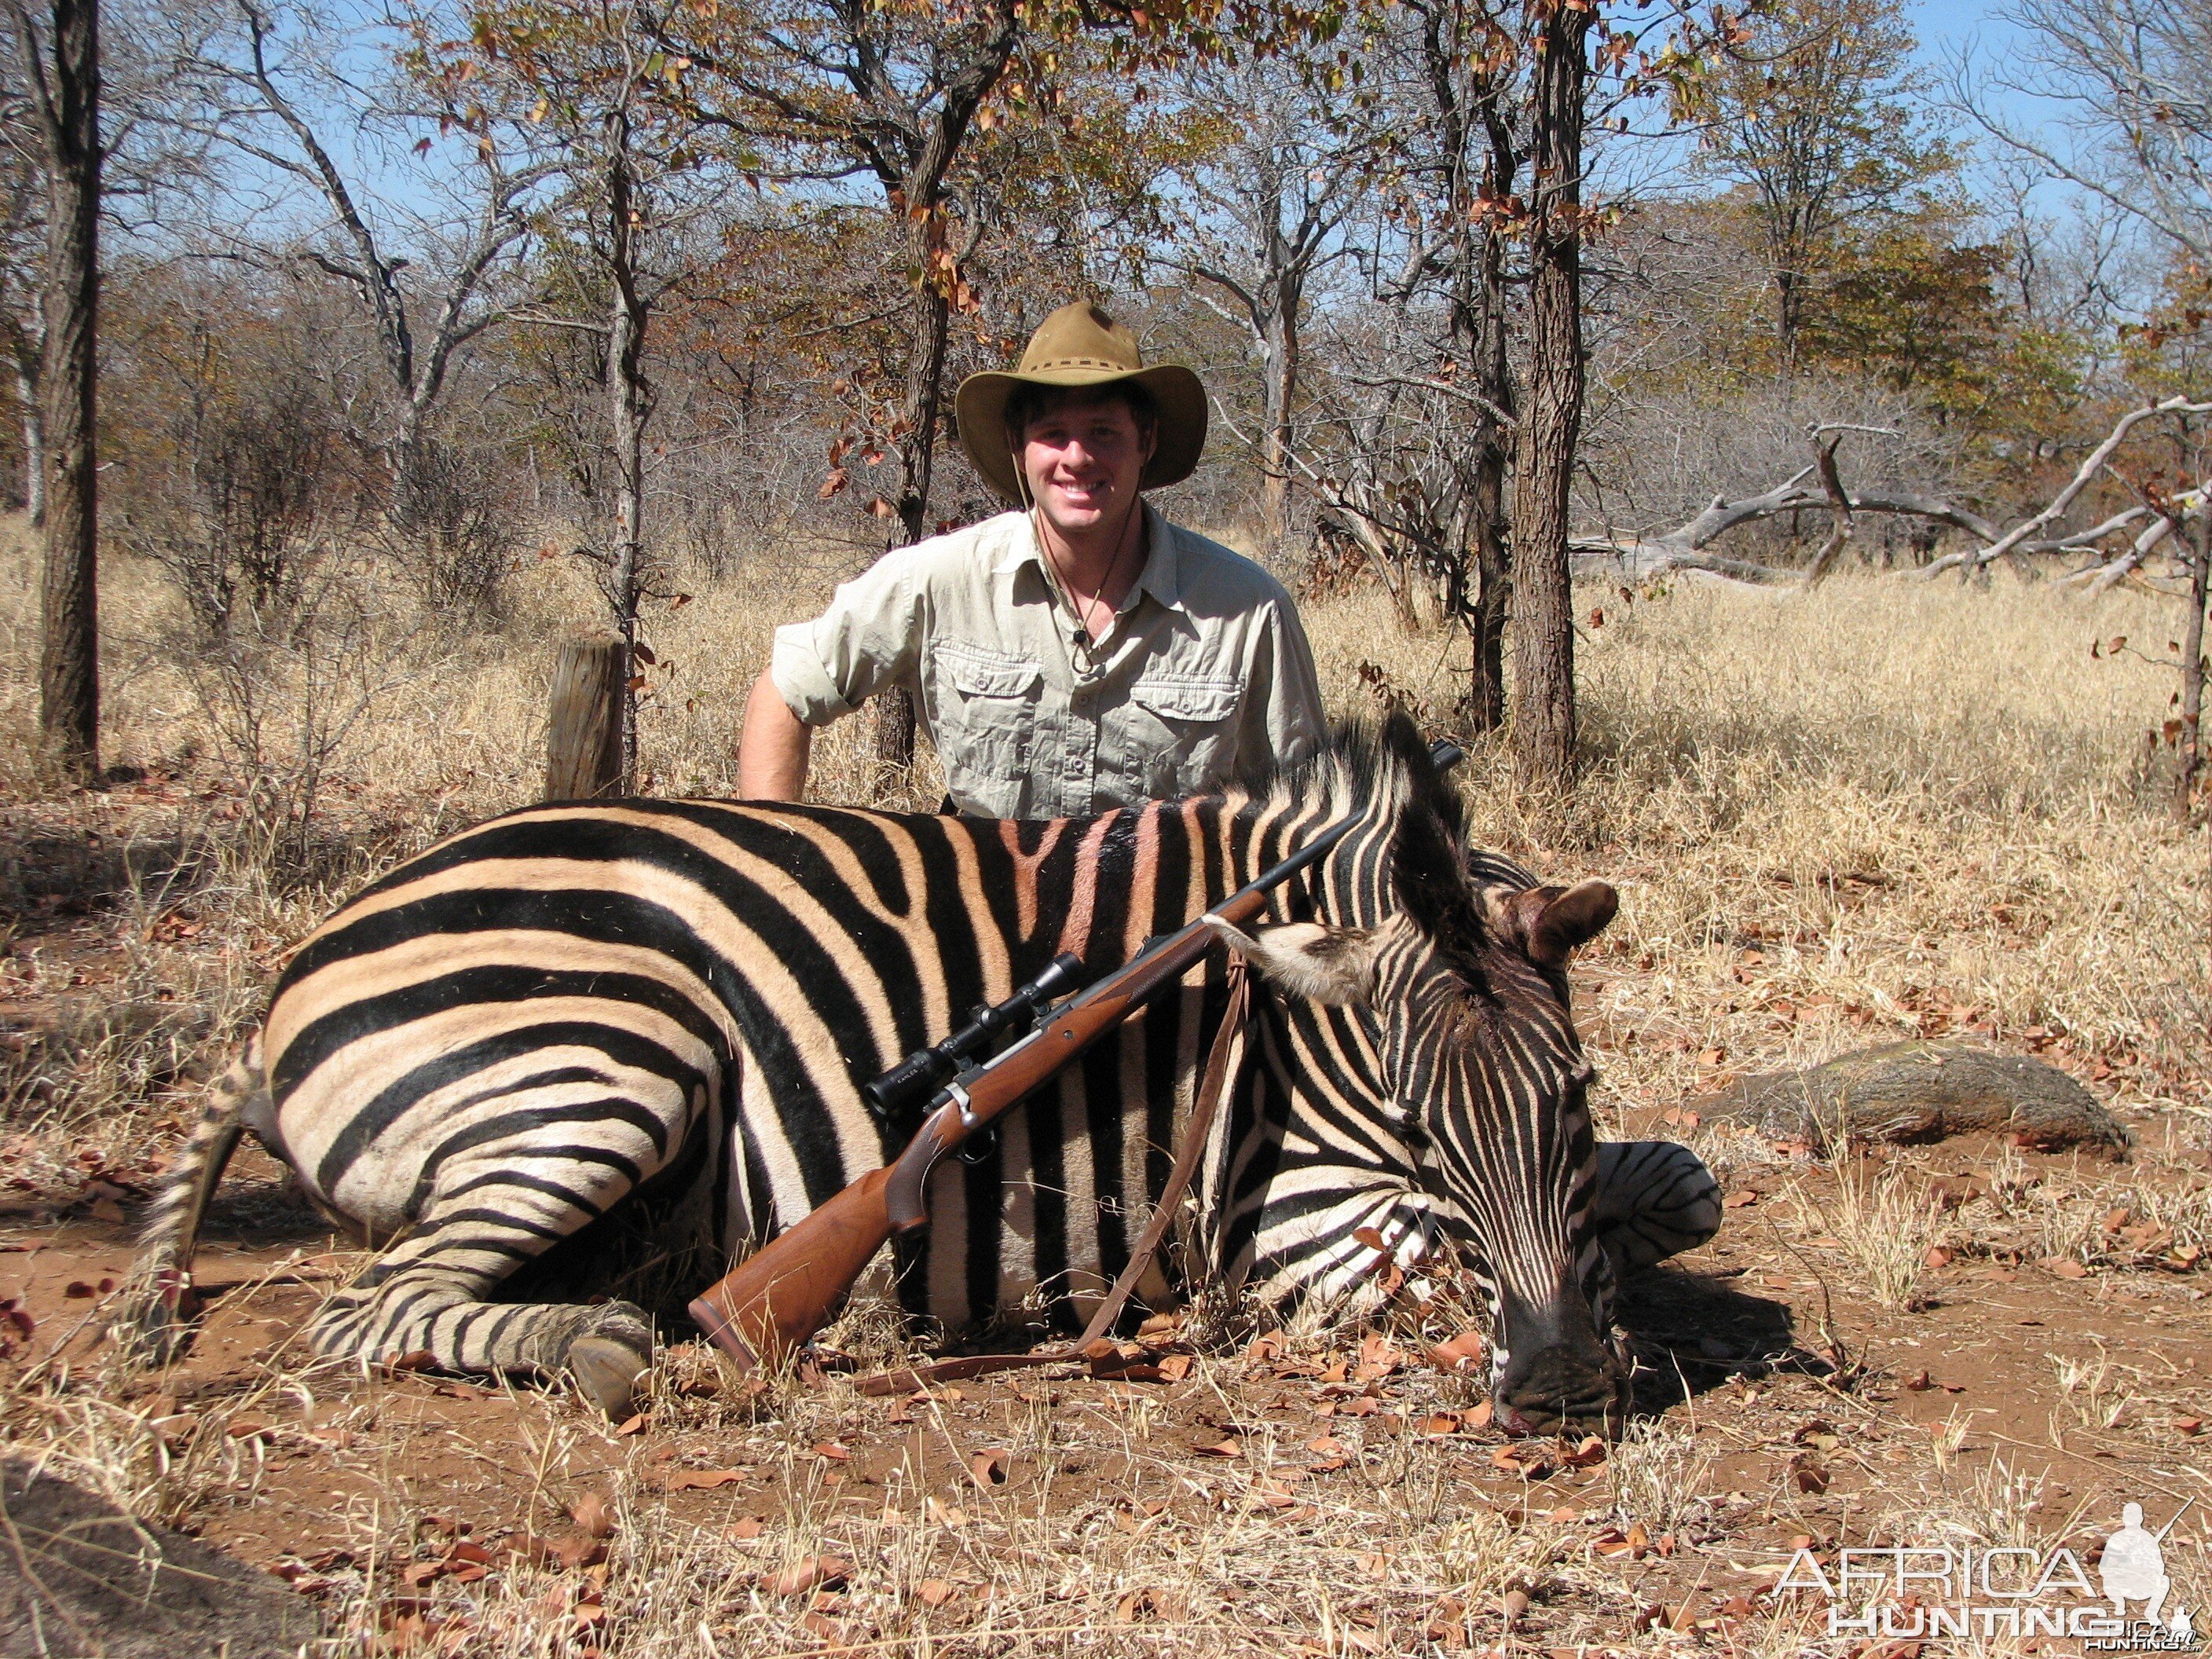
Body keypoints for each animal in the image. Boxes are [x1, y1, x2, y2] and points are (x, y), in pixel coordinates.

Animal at [129, 721, 1725, 1433]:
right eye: (1418, 1119)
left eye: (1576, 1098)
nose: (1562, 1384)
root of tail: (279, 989)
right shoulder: (1292, 1229)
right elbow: (1440, 1267)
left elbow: (1684, 1187)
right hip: (614, 1062)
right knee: (370, 1306)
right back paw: (600, 1346)